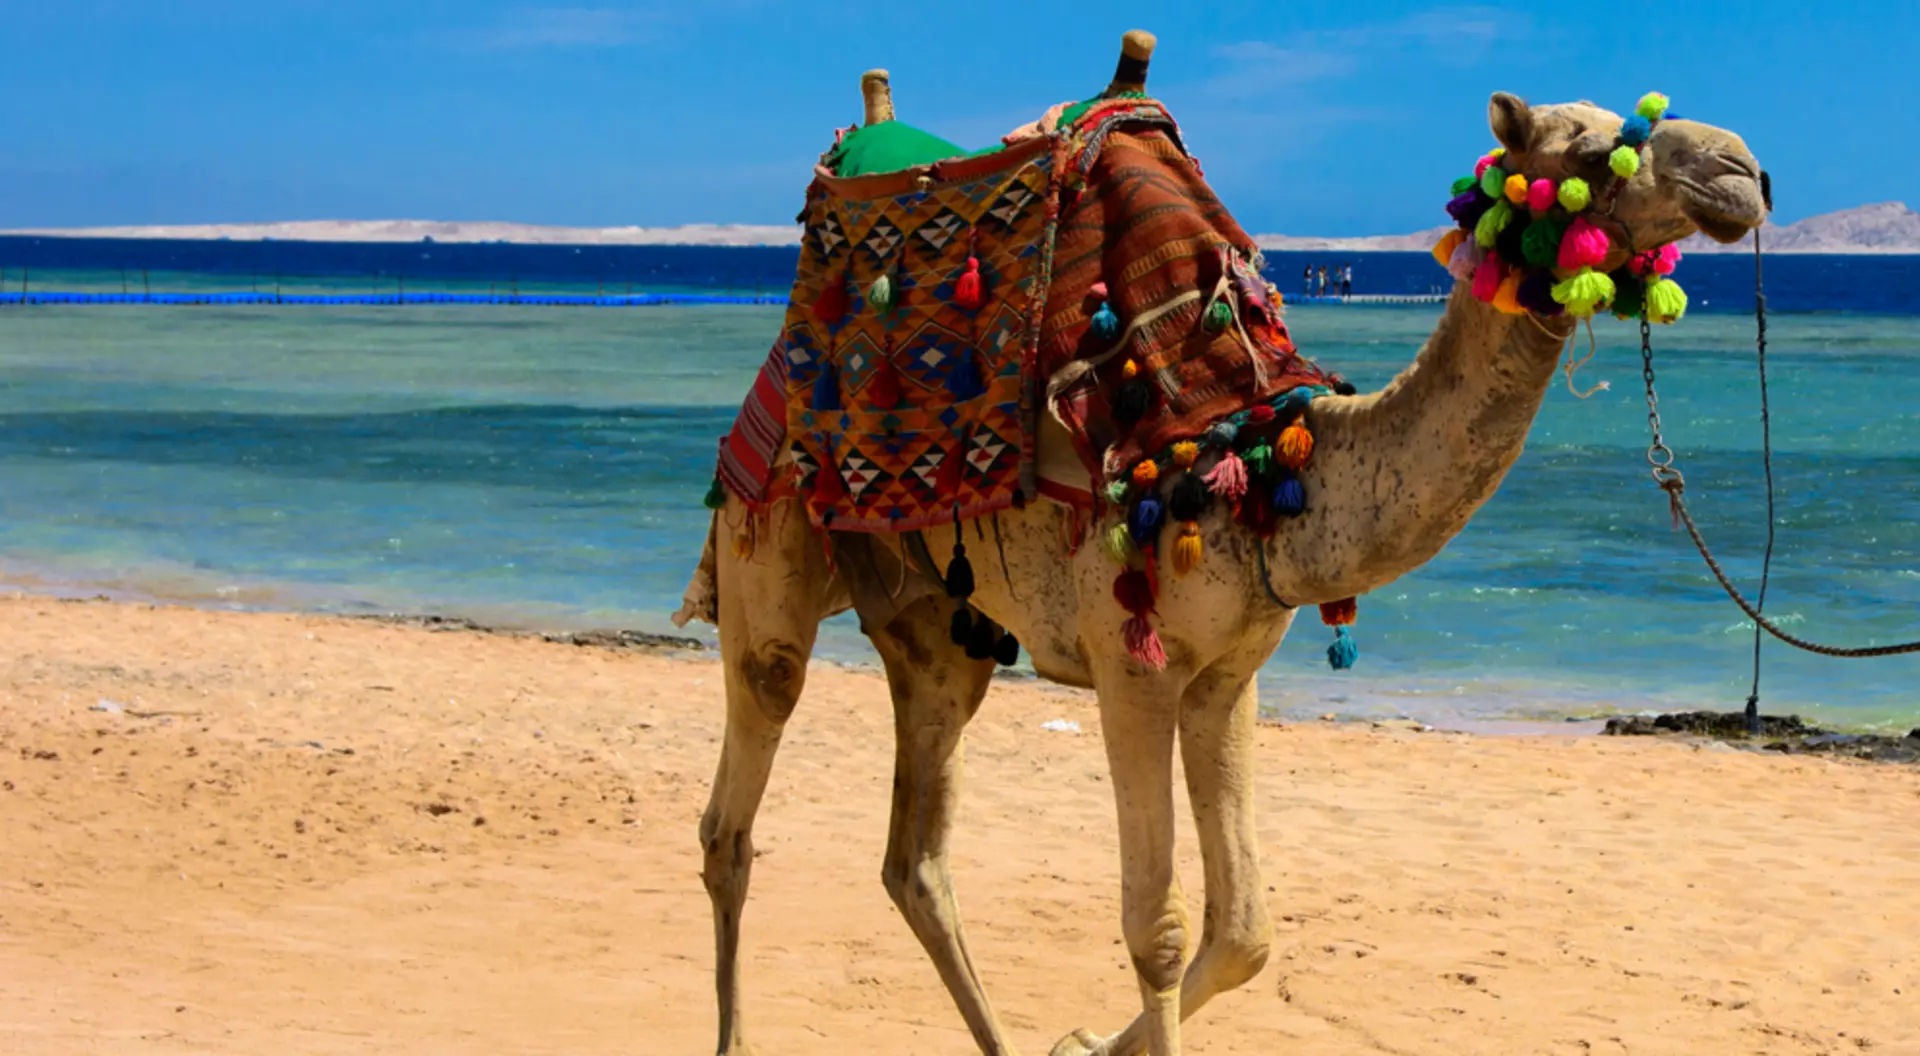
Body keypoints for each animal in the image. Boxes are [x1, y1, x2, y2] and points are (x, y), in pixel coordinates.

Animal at [680, 31, 1768, 1056]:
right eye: (1589, 149)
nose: (1744, 169)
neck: (1258, 459)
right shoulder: (1132, 663)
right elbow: (1156, 928)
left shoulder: (1227, 672)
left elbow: (1245, 931)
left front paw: (1080, 1040)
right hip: (767, 537)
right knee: (735, 804)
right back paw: (734, 1031)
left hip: (937, 626)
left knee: (915, 857)